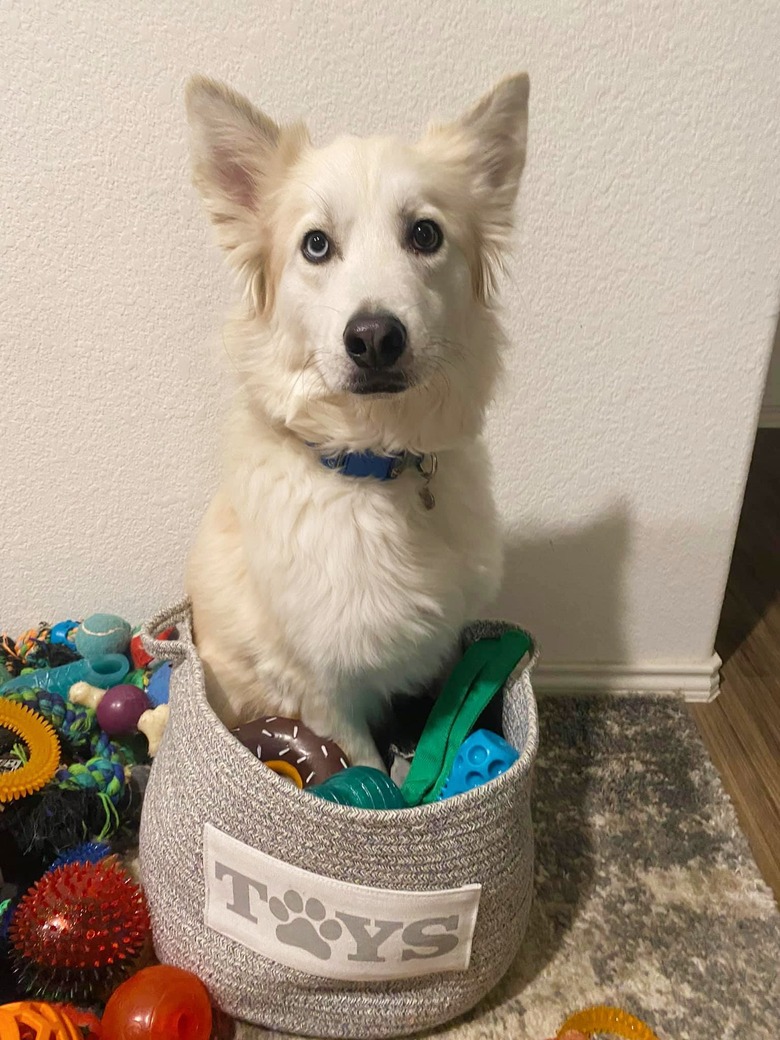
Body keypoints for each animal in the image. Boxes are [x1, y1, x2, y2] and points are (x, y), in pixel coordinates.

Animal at [185, 73, 528, 769]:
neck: (375, 466)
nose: (374, 338)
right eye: (316, 244)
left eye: (425, 234)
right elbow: (368, 771)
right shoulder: (320, 690)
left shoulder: (440, 645)